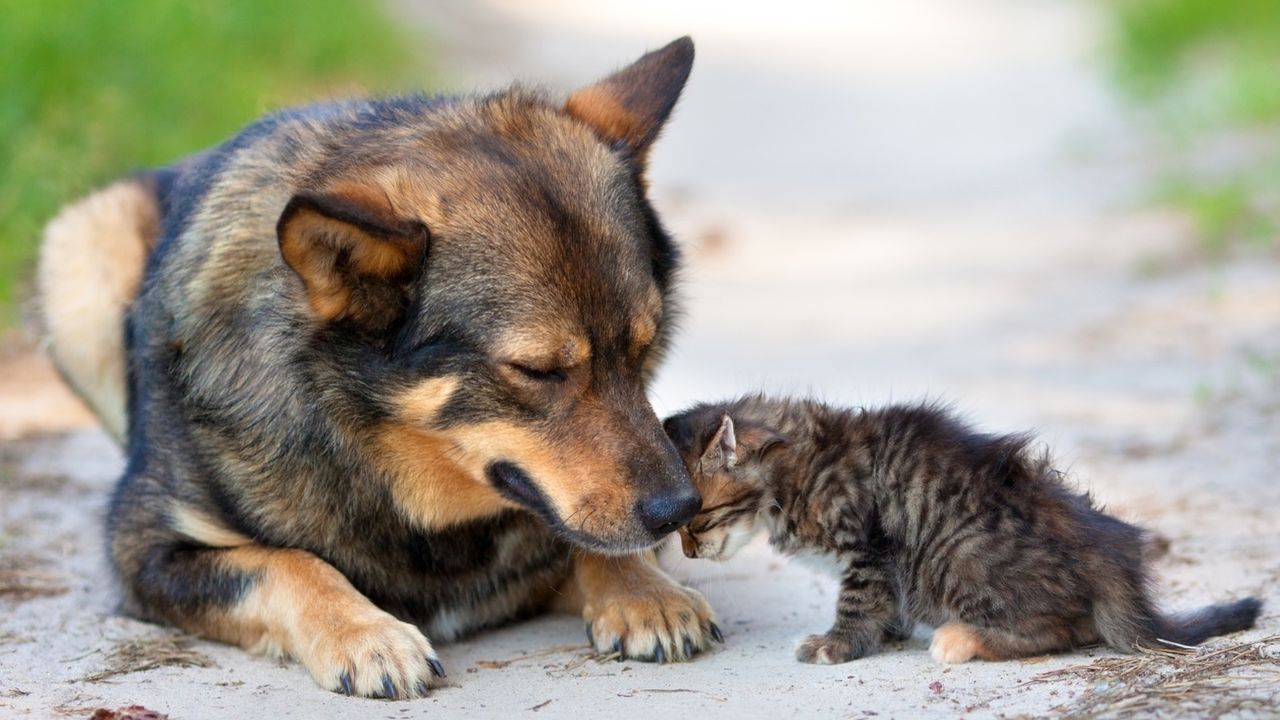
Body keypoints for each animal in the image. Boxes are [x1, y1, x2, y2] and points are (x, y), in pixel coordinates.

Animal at [37, 37, 721, 696]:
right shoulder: (146, 552)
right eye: (537, 371)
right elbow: (285, 563)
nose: (679, 510)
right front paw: (365, 634)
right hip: (81, 245)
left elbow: (587, 540)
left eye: (644, 347)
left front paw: (645, 593)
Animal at [665, 394, 1264, 666]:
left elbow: (857, 602)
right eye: (677, 530)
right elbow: (886, 603)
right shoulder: (882, 564)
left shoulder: (868, 547)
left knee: (1062, 629)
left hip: (957, 556)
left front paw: (836, 645)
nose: (689, 555)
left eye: (697, 521)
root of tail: (1110, 557)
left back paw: (962, 638)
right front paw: (889, 633)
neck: (797, 466)